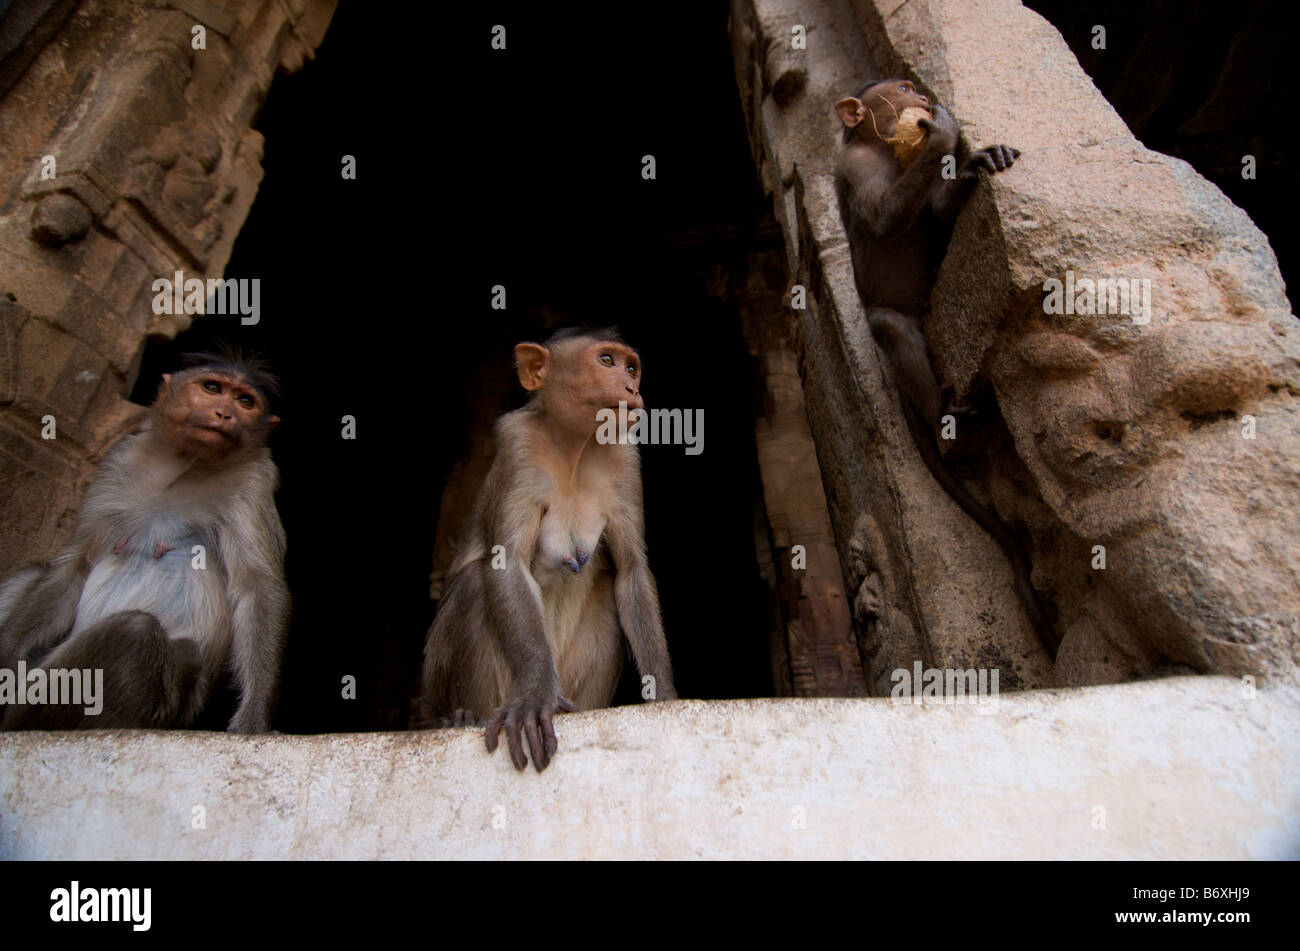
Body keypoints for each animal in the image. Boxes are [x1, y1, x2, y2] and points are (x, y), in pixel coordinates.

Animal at [0, 348, 289, 727]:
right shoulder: (120, 458)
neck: (184, 465)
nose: (225, 413)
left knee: (137, 632)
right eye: (213, 388)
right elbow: (77, 562)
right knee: (36, 573)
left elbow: (256, 585)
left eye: (245, 401)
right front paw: (6, 651)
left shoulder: (255, 477)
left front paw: (253, 716)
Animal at [421, 327, 676, 774]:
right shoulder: (518, 445)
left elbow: (631, 572)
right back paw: (463, 715)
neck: (575, 444)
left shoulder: (625, 457)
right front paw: (536, 695)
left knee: (608, 593)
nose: (632, 387)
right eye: (606, 361)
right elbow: (506, 564)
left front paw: (663, 696)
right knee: (475, 584)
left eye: (631, 368)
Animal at [832, 77, 1055, 657]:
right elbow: (884, 214)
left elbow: (934, 214)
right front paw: (944, 137)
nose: (922, 97)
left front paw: (977, 163)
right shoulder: (855, 164)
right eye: (901, 89)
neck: (883, 146)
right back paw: (943, 415)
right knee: (893, 327)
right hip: (901, 322)